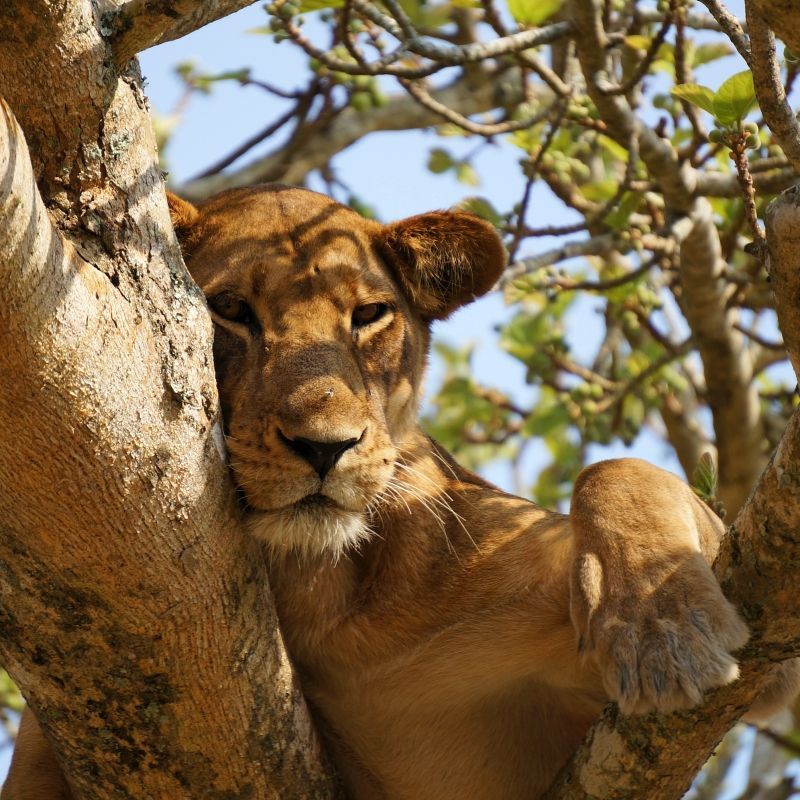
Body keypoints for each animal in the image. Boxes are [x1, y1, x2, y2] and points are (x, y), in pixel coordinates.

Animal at [4, 185, 798, 800]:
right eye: (229, 308)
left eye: (368, 316)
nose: (325, 447)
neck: (322, 593)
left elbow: (616, 471)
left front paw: (661, 627)